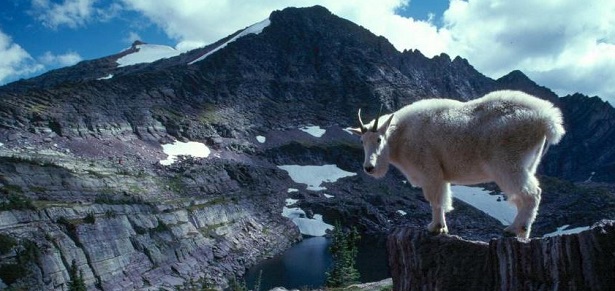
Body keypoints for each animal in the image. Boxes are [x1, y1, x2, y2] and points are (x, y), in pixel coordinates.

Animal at [354, 91, 564, 240]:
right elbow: (442, 199)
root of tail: (546, 119)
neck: (400, 136)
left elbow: (435, 200)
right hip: (529, 163)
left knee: (532, 193)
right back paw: (522, 232)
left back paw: (513, 230)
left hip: (508, 163)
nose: (369, 167)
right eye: (362, 142)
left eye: (379, 139)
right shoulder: (440, 175)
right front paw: (442, 228)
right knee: (522, 197)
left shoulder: (429, 170)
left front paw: (435, 228)